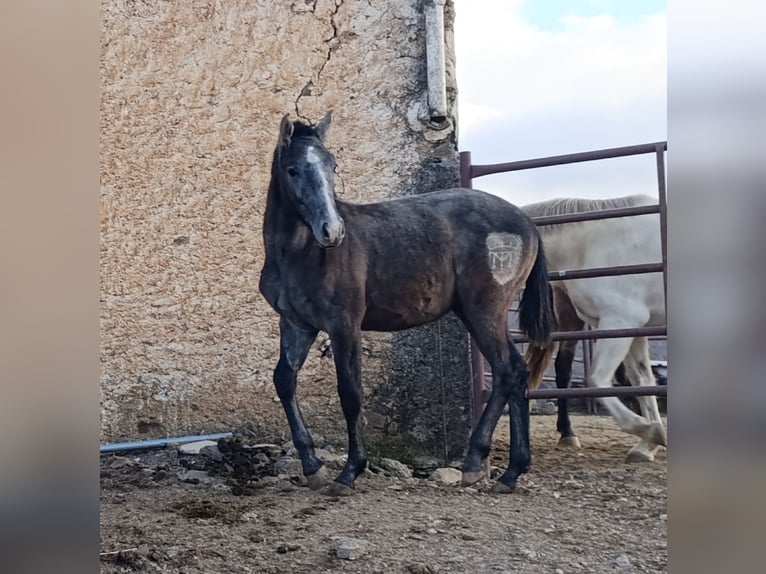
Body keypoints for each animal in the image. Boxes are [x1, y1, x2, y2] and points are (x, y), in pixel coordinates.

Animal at [260, 112, 556, 496]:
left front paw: (350, 471)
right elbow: (284, 380)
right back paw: (509, 472)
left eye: (331, 165)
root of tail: (529, 225)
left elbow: (350, 392)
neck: (301, 254)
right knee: (516, 372)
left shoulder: (344, 324)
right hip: (477, 313)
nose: (332, 231)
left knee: (509, 370)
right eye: (293, 169)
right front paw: (313, 467)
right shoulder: (298, 324)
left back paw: (477, 464)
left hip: (485, 311)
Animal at [524, 197, 668, 464]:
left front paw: (648, 431)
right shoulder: (632, 328)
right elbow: (643, 382)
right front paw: (648, 443)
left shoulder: (619, 320)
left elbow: (597, 379)